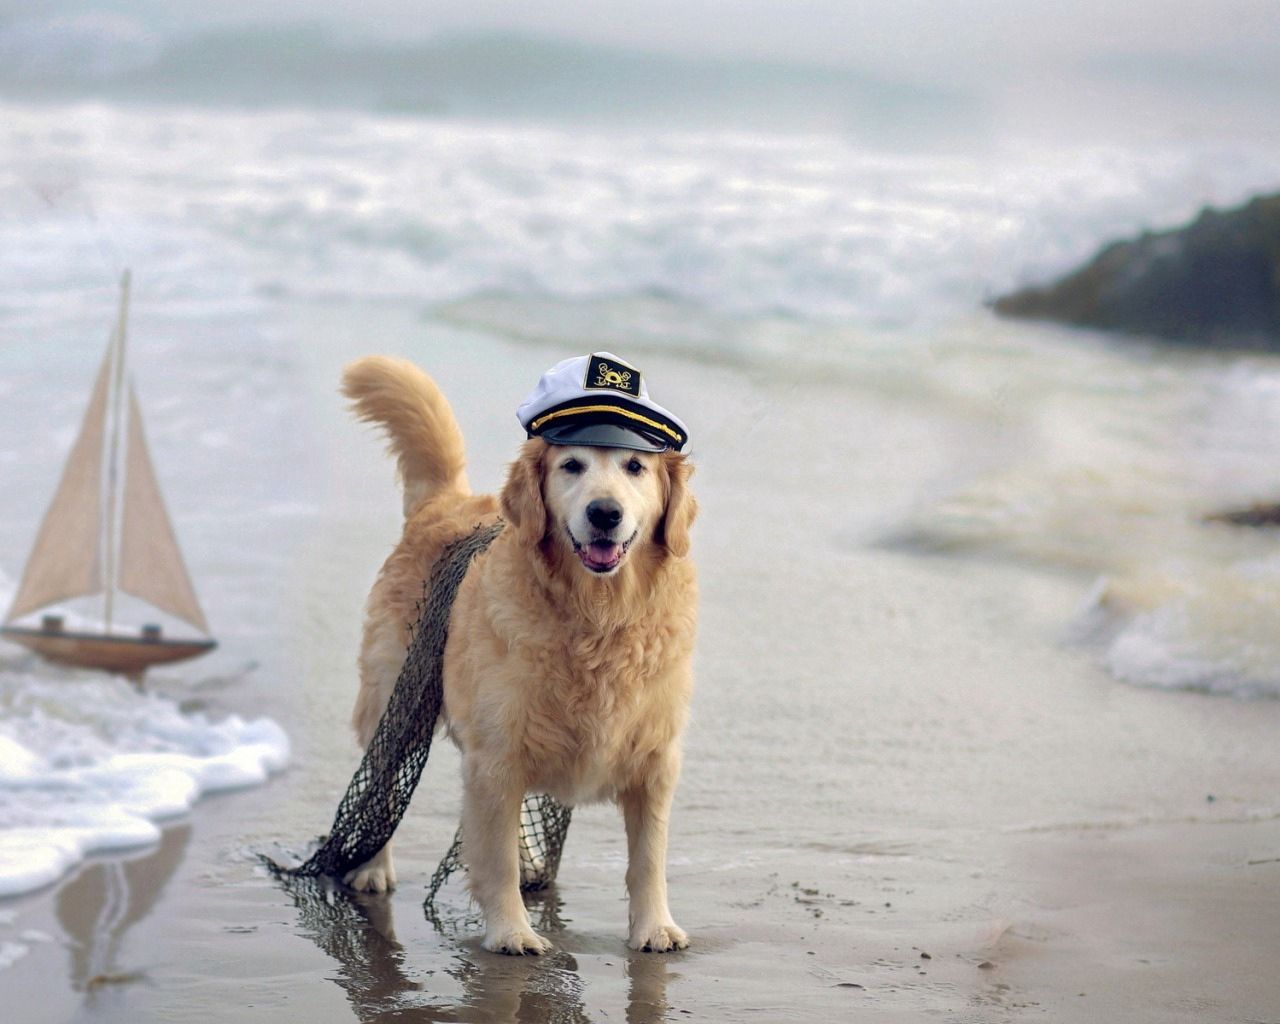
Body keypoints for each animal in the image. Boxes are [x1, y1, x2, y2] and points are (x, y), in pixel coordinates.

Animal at [337, 355, 701, 957]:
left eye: (635, 467)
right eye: (572, 465)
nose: (605, 513)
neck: (598, 617)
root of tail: (446, 501)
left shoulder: (656, 759)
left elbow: (648, 859)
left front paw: (654, 928)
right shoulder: (497, 754)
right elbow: (494, 857)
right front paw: (512, 932)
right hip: (394, 696)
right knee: (382, 787)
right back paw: (371, 866)